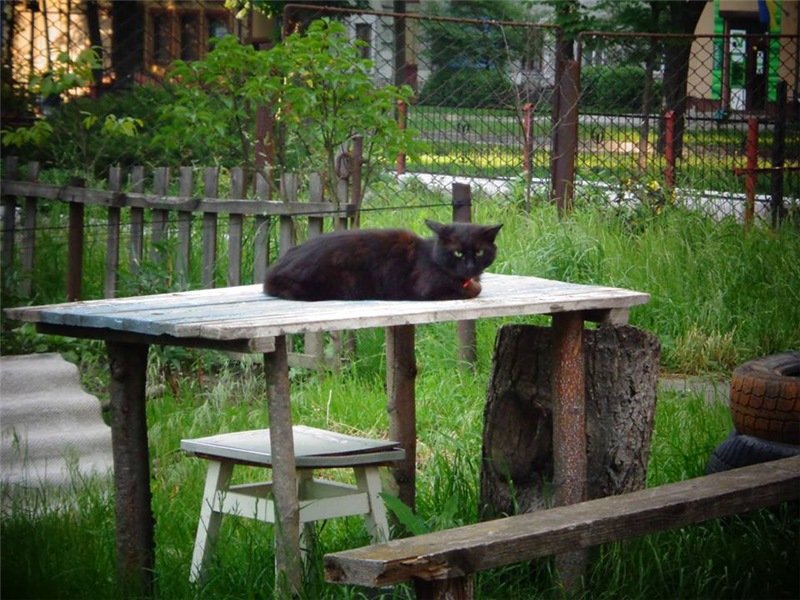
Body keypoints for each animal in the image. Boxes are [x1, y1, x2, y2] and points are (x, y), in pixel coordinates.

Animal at [263, 219, 502, 301]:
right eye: (458, 253)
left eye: (479, 253)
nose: (470, 267)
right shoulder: (427, 288)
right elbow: (473, 290)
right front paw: (473, 287)